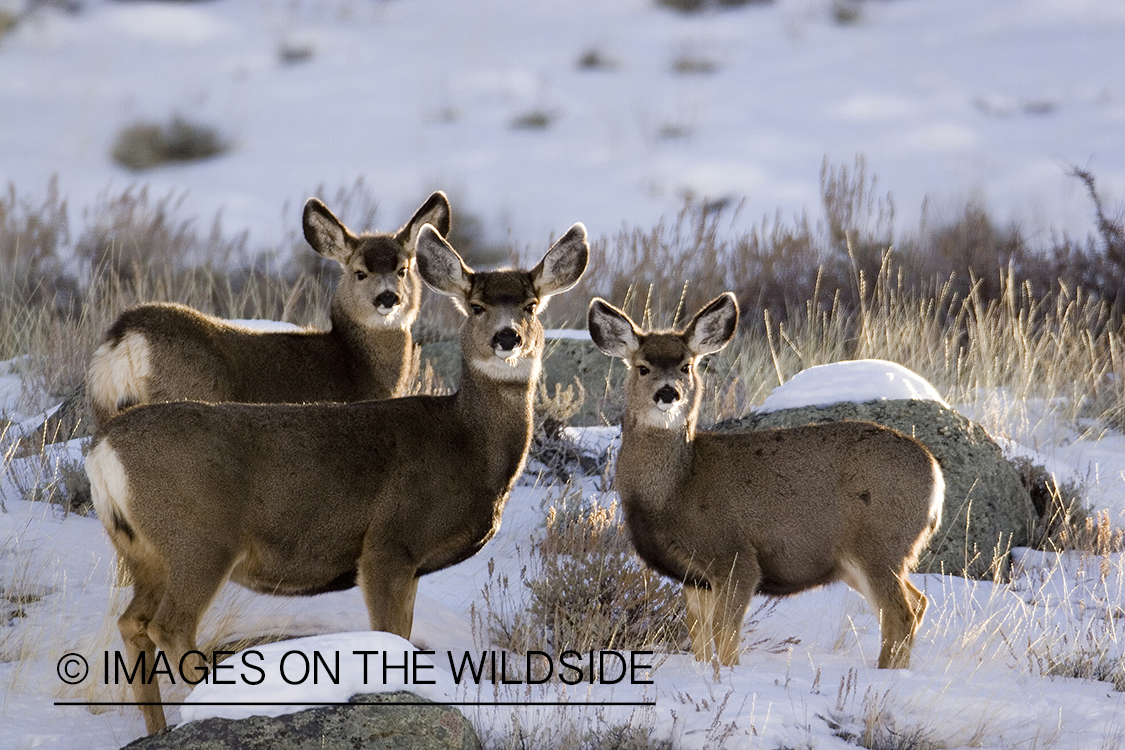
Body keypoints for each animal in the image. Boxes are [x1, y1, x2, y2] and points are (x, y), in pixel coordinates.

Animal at [86, 191, 452, 429]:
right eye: (360, 272)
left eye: (404, 269)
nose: (388, 298)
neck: (356, 362)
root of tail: (126, 336)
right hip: (183, 394)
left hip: (105, 407)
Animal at [87, 222, 588, 735]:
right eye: (477, 306)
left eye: (531, 305)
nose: (508, 337)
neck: (467, 447)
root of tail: (103, 449)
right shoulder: (388, 543)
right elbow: (390, 635)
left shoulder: (408, 563)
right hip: (199, 540)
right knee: (168, 626)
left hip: (142, 550)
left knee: (132, 623)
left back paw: (160, 727)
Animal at [587, 293, 944, 670]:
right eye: (642, 367)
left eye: (687, 366)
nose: (668, 393)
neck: (675, 491)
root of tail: (936, 472)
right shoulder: (693, 576)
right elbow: (698, 635)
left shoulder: (735, 557)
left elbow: (724, 634)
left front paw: (728, 674)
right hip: (864, 560)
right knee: (917, 603)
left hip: (880, 544)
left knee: (901, 614)